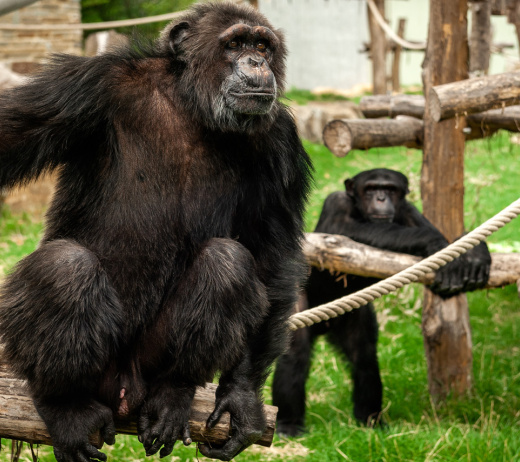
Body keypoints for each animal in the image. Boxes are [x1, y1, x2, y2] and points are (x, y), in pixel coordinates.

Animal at [0, 3, 312, 462]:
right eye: (235, 43)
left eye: (262, 45)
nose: (257, 63)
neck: (190, 106)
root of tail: (125, 391)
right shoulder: (87, 85)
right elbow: (8, 136)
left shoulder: (279, 142)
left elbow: (273, 258)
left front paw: (241, 397)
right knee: (65, 268)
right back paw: (65, 407)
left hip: (146, 366)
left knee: (227, 262)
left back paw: (172, 394)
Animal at [272, 168, 492, 434]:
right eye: (370, 189)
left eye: (390, 189)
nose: (380, 198)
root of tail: (324, 325)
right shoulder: (336, 204)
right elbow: (342, 232)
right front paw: (436, 241)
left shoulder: (410, 212)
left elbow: (444, 287)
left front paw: (476, 254)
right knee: (294, 355)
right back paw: (288, 425)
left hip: (352, 317)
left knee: (364, 358)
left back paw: (370, 419)